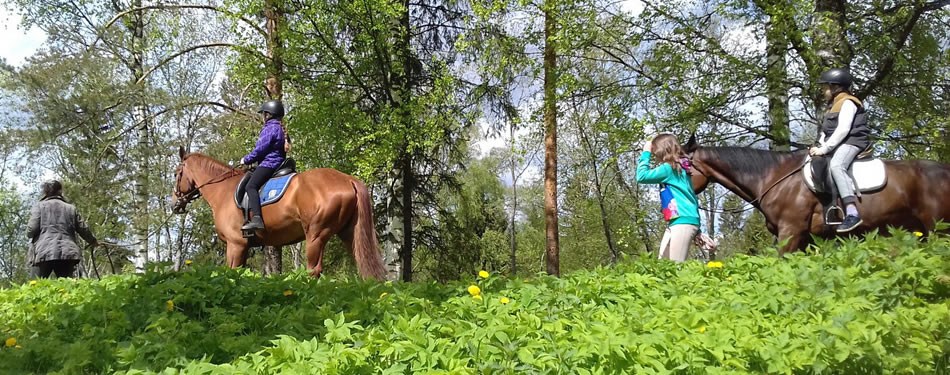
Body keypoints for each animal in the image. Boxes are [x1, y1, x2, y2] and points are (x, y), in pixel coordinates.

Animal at [171, 147, 386, 280]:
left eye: (176, 173)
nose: (175, 204)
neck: (223, 190)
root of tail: (348, 179)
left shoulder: (235, 245)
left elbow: (231, 272)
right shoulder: (243, 246)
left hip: (316, 235)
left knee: (314, 270)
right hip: (350, 234)